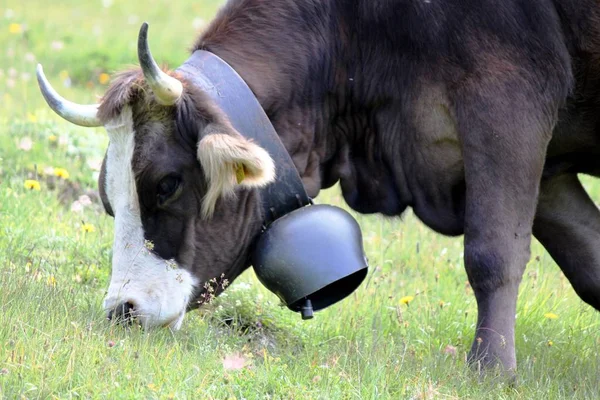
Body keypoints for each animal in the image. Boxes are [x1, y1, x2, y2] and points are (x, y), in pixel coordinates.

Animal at [35, 0, 600, 376]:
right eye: (110, 199)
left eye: (166, 184)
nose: (122, 311)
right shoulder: (545, 170)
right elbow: (589, 267)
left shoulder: (507, 103)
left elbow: (491, 254)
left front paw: (490, 371)